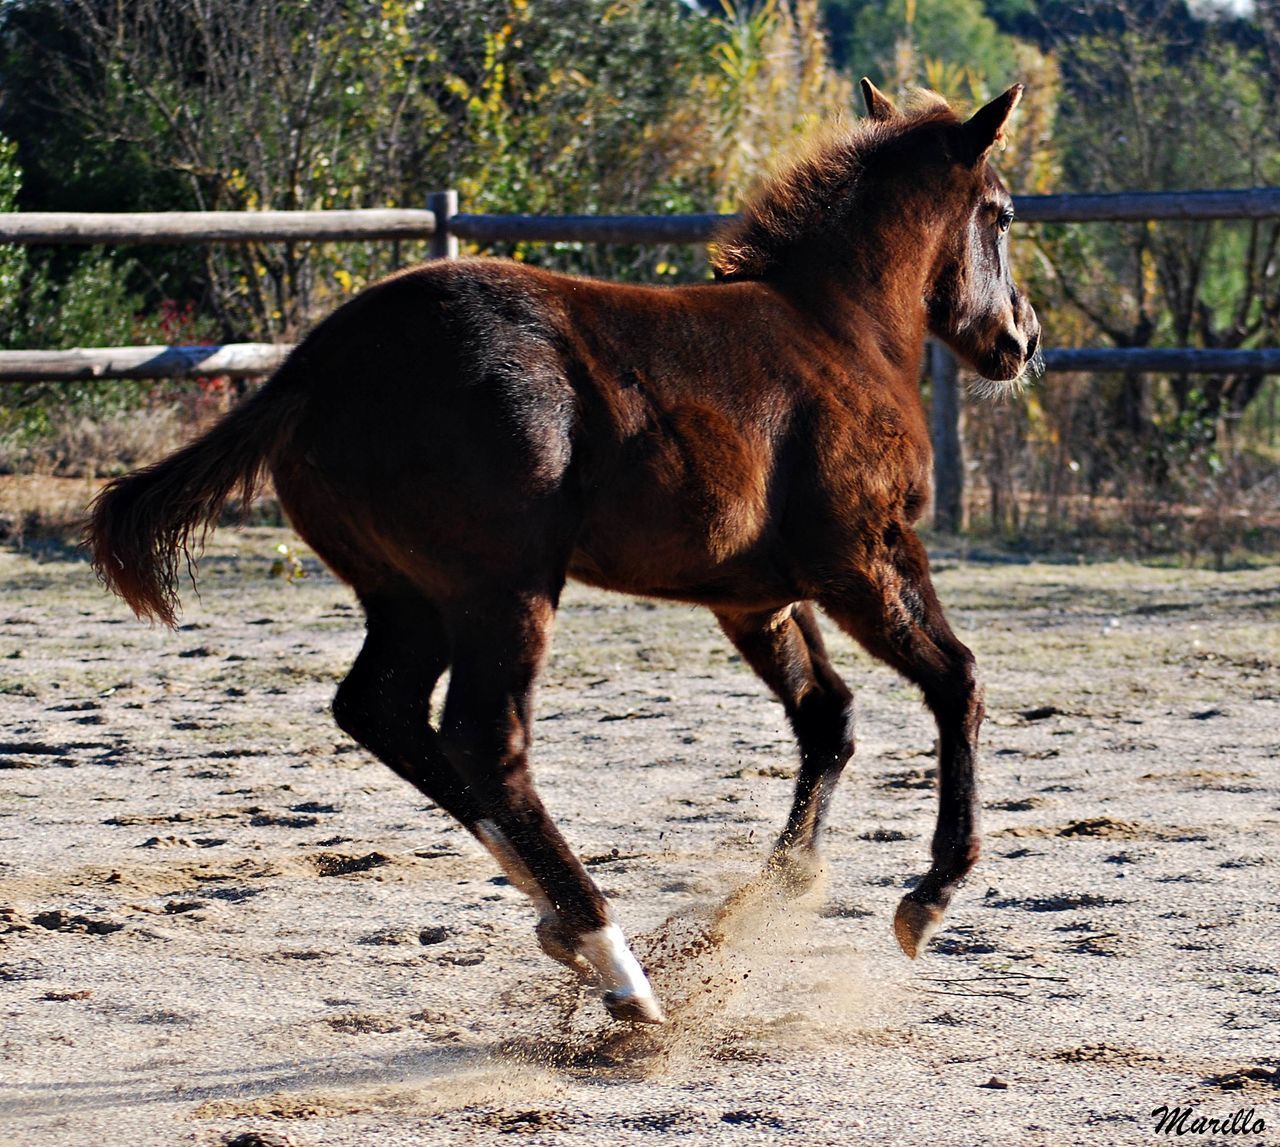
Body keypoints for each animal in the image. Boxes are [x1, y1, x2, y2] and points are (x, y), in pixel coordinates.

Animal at [85, 85, 1039, 1024]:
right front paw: (930, 895)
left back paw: (558, 919)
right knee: (485, 736)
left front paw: (774, 892)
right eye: (1000, 214)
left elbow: (827, 717)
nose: (1021, 339)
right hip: (503, 587)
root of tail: (319, 362)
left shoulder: (752, 594)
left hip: (410, 597)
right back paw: (615, 961)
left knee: (381, 709)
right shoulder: (864, 557)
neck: (839, 330)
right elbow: (958, 679)